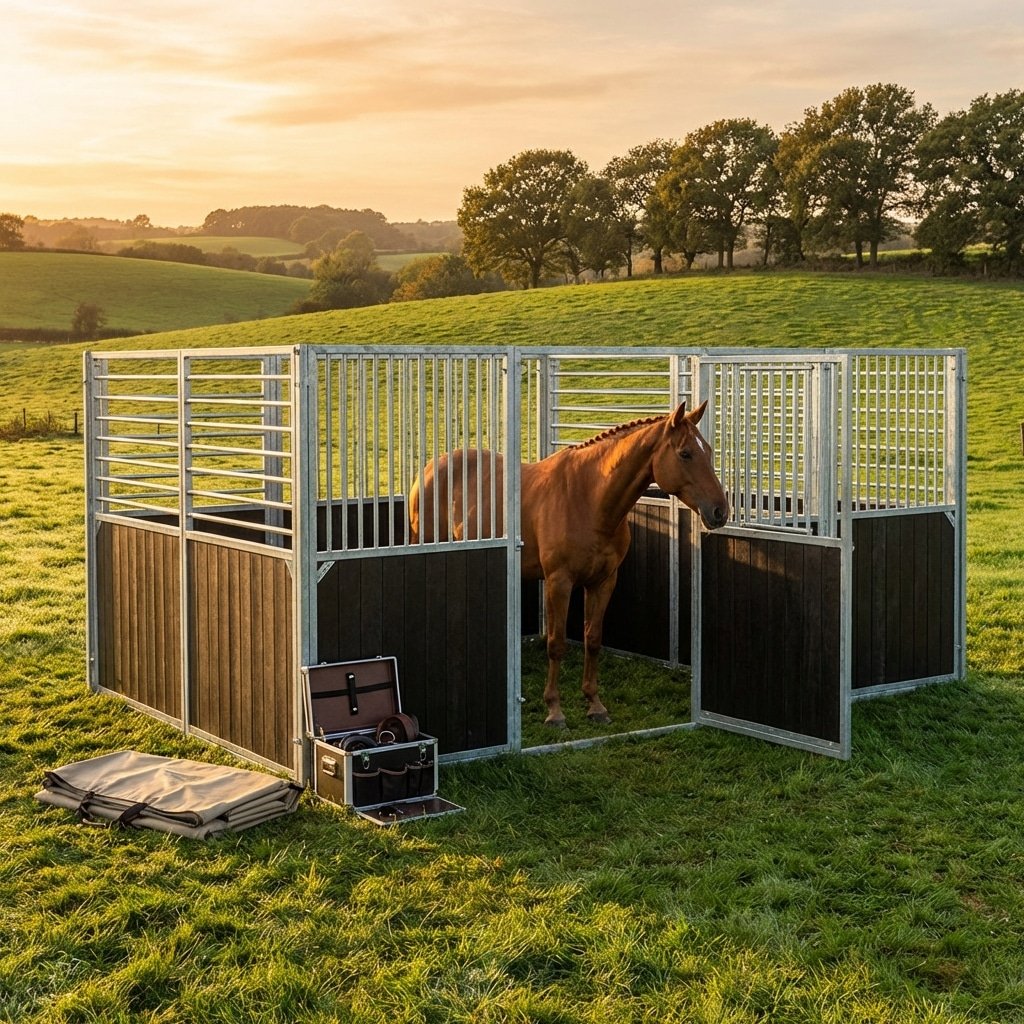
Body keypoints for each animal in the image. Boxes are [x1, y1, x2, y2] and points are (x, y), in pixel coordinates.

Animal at [408, 402, 729, 728]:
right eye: (685, 453)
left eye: (709, 450)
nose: (720, 511)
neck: (588, 500)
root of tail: (432, 466)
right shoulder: (558, 582)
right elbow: (556, 643)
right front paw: (554, 710)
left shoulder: (603, 581)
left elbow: (593, 639)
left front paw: (595, 704)